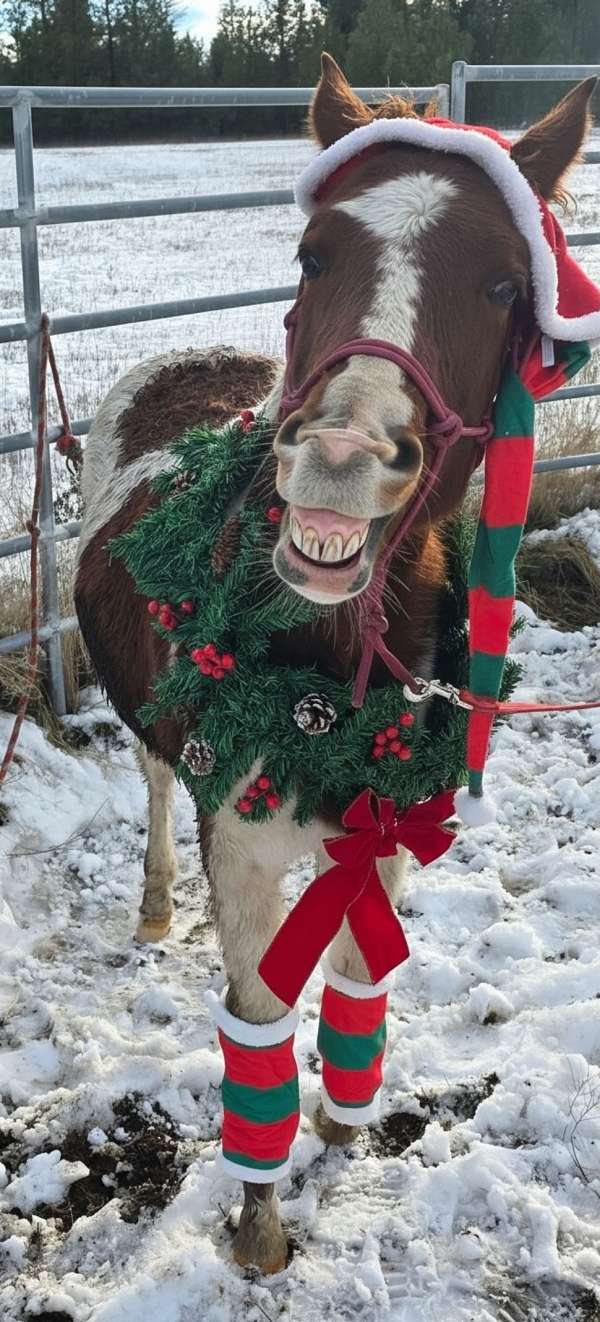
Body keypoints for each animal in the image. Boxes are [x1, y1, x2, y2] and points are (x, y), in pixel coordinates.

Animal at [75, 56, 595, 1274]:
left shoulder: (387, 835)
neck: (331, 664)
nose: (340, 459)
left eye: (505, 284)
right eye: (312, 253)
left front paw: (343, 1129)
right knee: (154, 780)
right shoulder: (246, 848)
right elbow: (260, 1022)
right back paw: (156, 904)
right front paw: (261, 1231)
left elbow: (359, 983)